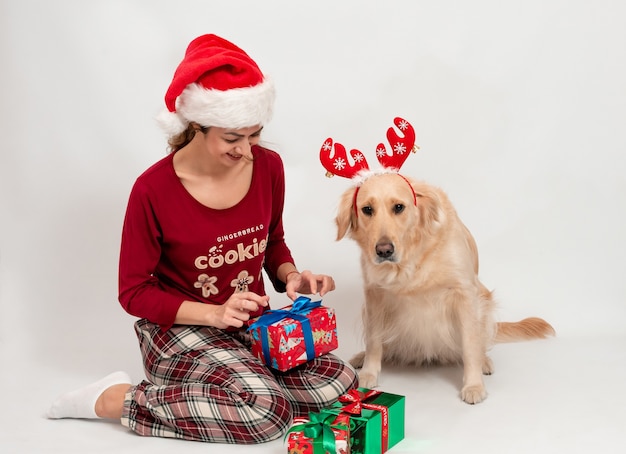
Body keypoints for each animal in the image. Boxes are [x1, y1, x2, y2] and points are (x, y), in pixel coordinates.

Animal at [336, 171, 556, 404]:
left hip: (484, 303)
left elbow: (470, 345)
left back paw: (484, 362)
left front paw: (474, 385)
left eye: (399, 207)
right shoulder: (374, 294)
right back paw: (360, 358)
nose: (384, 250)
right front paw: (368, 372)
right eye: (367, 209)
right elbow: (374, 340)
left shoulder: (464, 294)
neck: (410, 261)